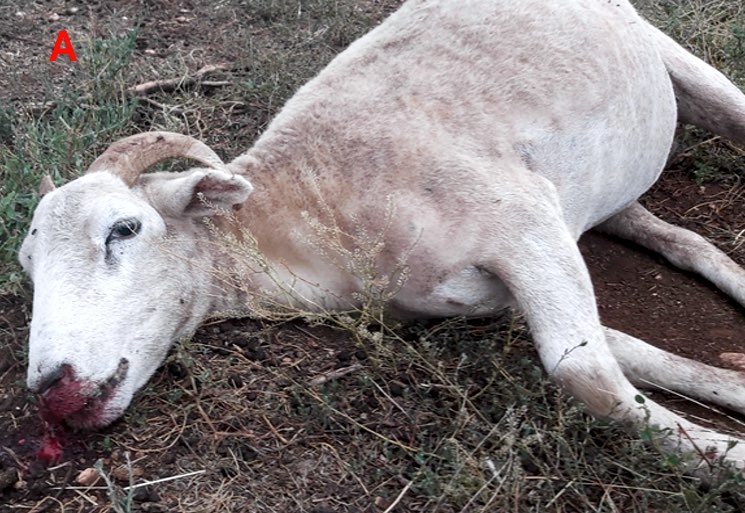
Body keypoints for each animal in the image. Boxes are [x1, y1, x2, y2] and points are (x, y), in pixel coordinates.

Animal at [18, 0, 745, 473]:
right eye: (28, 263)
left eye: (125, 228)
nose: (50, 387)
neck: (317, 214)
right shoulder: (494, 296)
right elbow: (629, 354)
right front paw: (730, 393)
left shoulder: (521, 217)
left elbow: (586, 374)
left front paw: (728, 455)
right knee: (674, 236)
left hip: (679, 65)